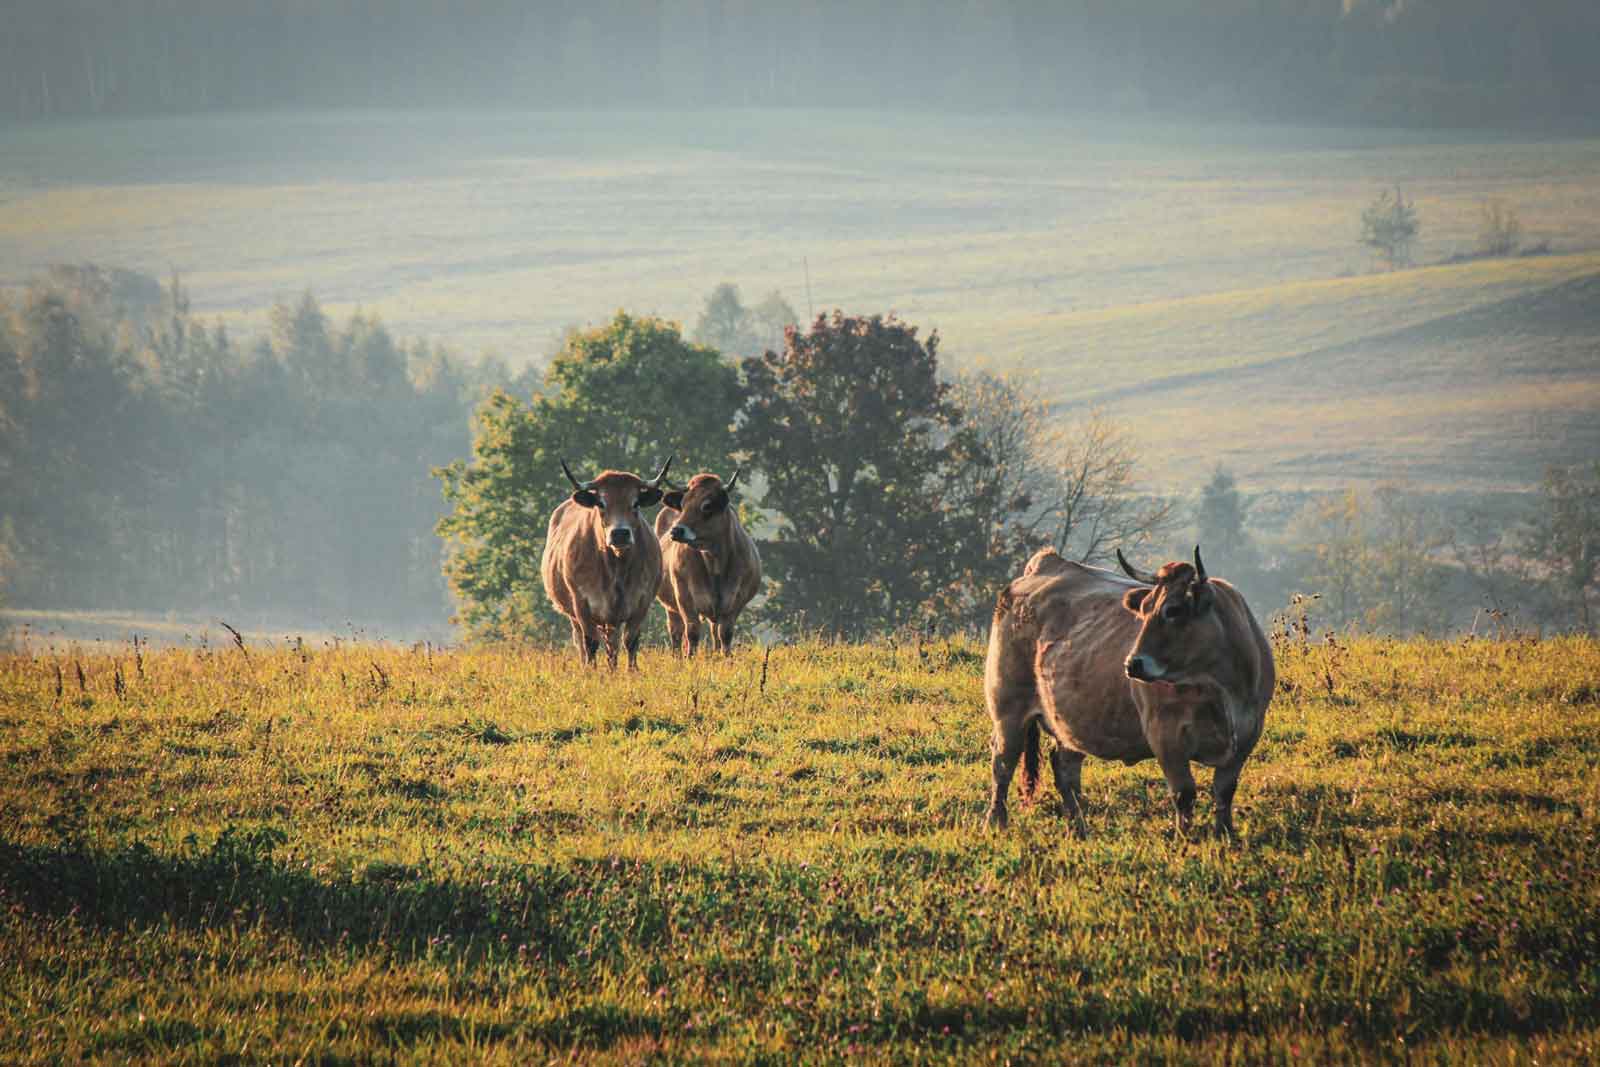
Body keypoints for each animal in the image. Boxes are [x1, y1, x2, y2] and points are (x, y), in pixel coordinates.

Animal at [540, 457, 672, 668]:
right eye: (601, 503)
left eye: (635, 503)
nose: (620, 533)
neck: (616, 569)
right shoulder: (581, 603)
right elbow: (590, 643)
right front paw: (591, 671)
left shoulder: (642, 602)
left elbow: (631, 641)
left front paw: (632, 671)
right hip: (576, 615)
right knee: (582, 641)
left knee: (613, 644)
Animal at [656, 470, 768, 655]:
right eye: (683, 503)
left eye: (707, 506)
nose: (676, 530)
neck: (714, 562)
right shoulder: (684, 597)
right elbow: (692, 632)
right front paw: (690, 659)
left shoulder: (736, 601)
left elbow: (726, 634)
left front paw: (726, 658)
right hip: (671, 607)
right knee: (676, 632)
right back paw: (677, 656)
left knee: (715, 632)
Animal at [985, 547, 1273, 838]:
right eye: (1144, 610)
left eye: (1173, 610)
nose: (1132, 664)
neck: (1220, 689)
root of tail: (1048, 561)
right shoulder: (1165, 736)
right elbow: (1184, 794)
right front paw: (1184, 839)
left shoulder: (1248, 735)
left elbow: (1225, 791)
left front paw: (1225, 834)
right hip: (1008, 710)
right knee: (1003, 765)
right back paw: (996, 822)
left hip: (1069, 720)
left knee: (1065, 768)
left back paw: (1078, 827)